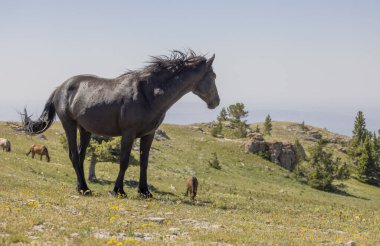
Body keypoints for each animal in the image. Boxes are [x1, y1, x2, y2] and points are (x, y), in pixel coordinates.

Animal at [24, 50, 220, 198]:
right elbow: (124, 161)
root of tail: (60, 88)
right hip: (70, 125)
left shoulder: (149, 135)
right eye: (213, 75)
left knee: (80, 157)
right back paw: (84, 189)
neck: (148, 94)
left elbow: (144, 163)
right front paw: (119, 191)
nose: (216, 102)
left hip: (85, 130)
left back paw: (83, 187)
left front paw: (144, 192)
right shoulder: (128, 133)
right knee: (73, 155)